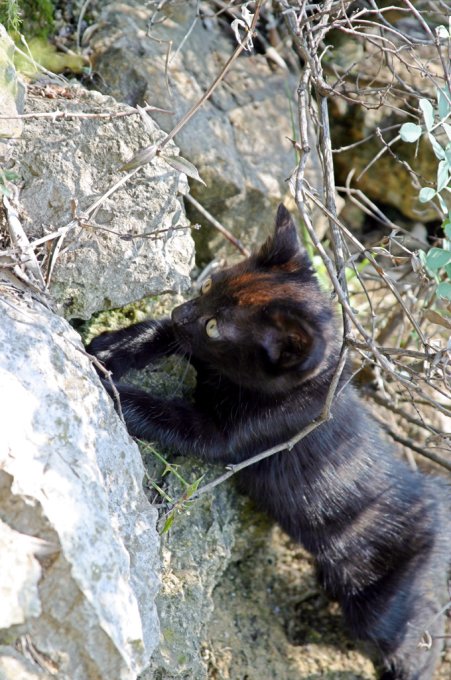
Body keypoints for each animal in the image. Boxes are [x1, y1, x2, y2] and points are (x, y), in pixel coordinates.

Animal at [86, 205, 450, 676]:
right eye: (209, 288)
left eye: (215, 327)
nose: (182, 309)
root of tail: (436, 494)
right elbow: (161, 334)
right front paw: (114, 347)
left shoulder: (229, 434)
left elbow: (167, 415)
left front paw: (112, 387)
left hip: (383, 608)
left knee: (417, 641)